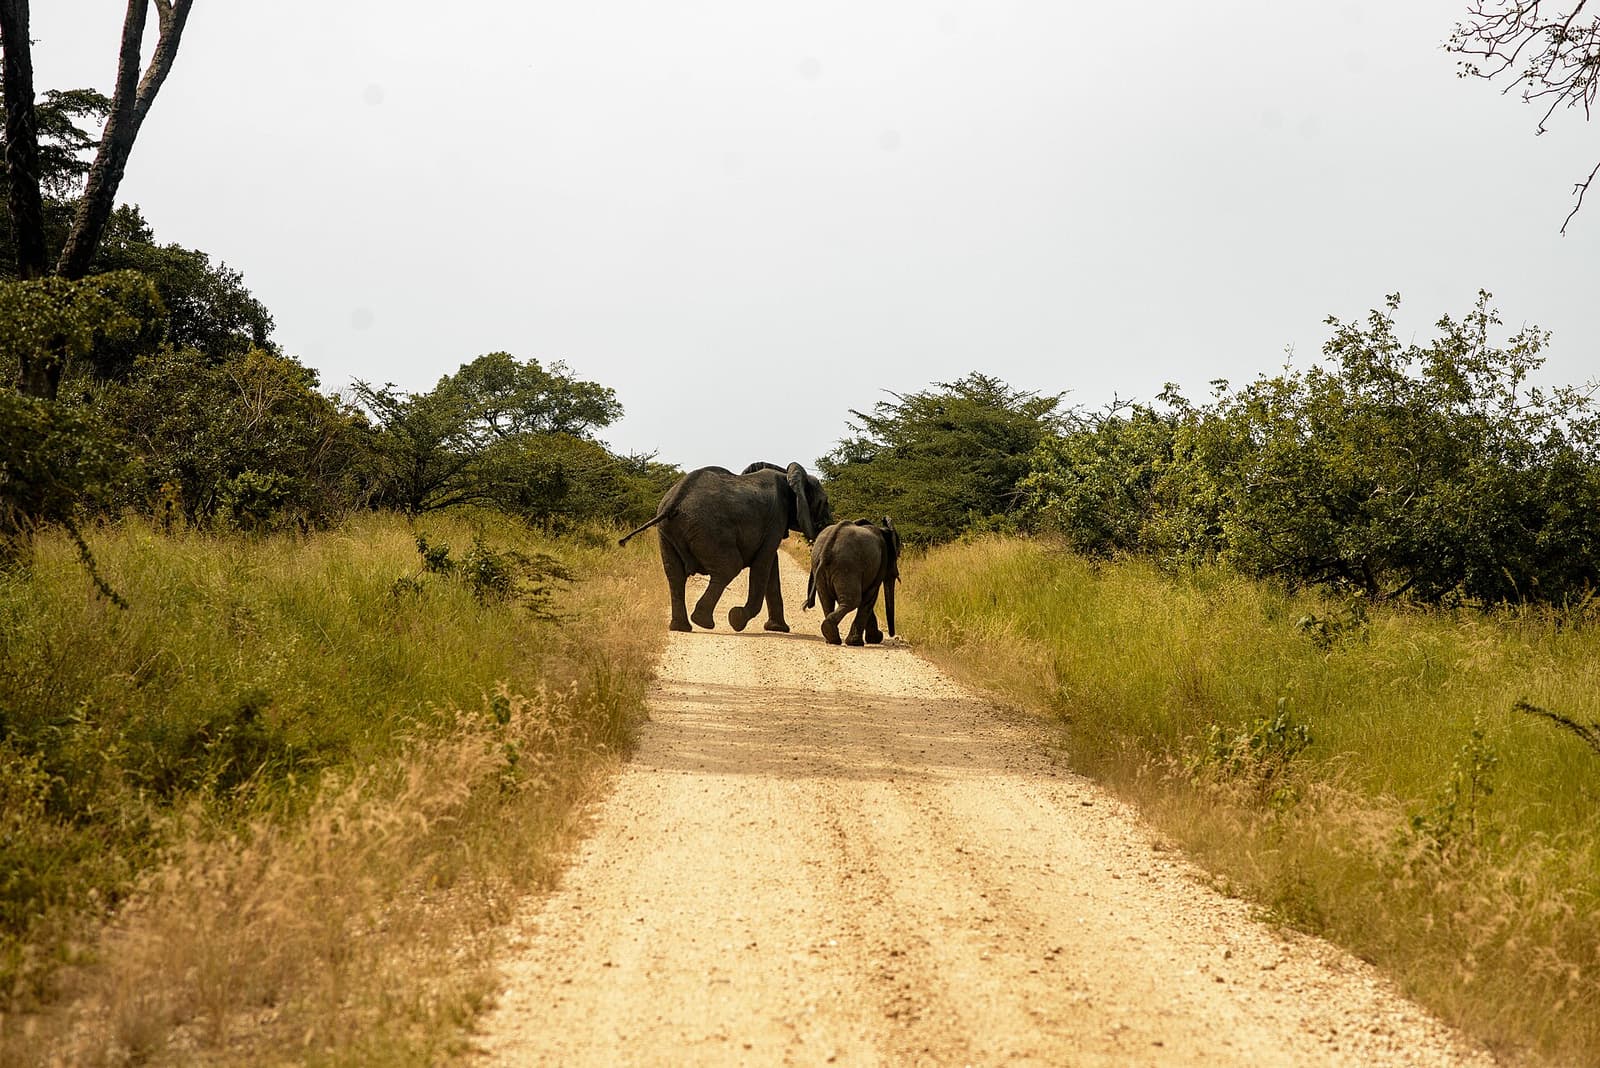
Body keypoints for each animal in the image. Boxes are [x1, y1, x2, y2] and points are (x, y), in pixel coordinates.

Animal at [619, 462, 835, 633]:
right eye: (825, 503)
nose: (806, 606)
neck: (786, 474)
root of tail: (674, 501)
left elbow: (771, 565)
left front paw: (778, 629)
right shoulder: (775, 519)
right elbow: (763, 565)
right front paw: (737, 619)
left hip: (667, 532)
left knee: (675, 574)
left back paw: (682, 627)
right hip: (708, 529)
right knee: (729, 567)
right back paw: (703, 622)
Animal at [803, 518, 901, 646]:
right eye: (897, 556)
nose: (892, 635)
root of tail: (827, 548)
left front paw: (874, 639)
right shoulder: (881, 563)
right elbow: (869, 598)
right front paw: (860, 642)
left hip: (818, 564)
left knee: (826, 600)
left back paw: (831, 639)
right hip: (847, 566)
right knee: (852, 601)